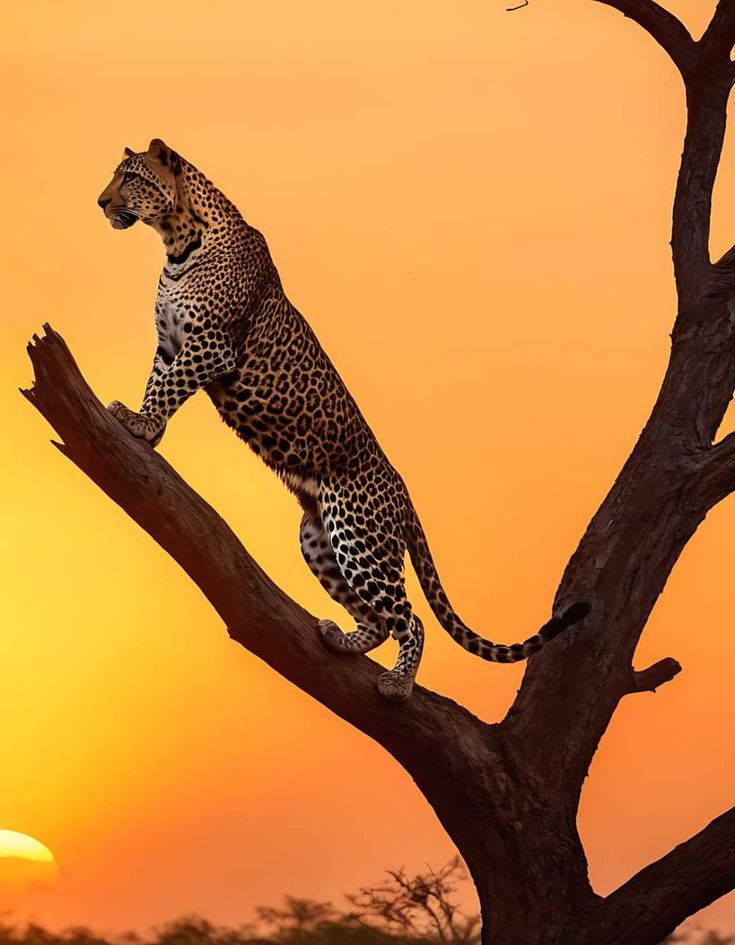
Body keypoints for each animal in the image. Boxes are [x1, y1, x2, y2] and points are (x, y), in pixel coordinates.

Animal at [97, 138, 589, 702]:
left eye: (132, 177)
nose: (101, 202)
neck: (178, 244)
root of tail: (402, 493)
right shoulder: (170, 343)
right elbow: (158, 381)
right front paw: (147, 428)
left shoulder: (211, 345)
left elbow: (169, 386)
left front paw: (138, 423)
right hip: (319, 539)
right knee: (377, 619)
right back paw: (341, 641)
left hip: (360, 536)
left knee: (410, 618)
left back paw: (398, 684)